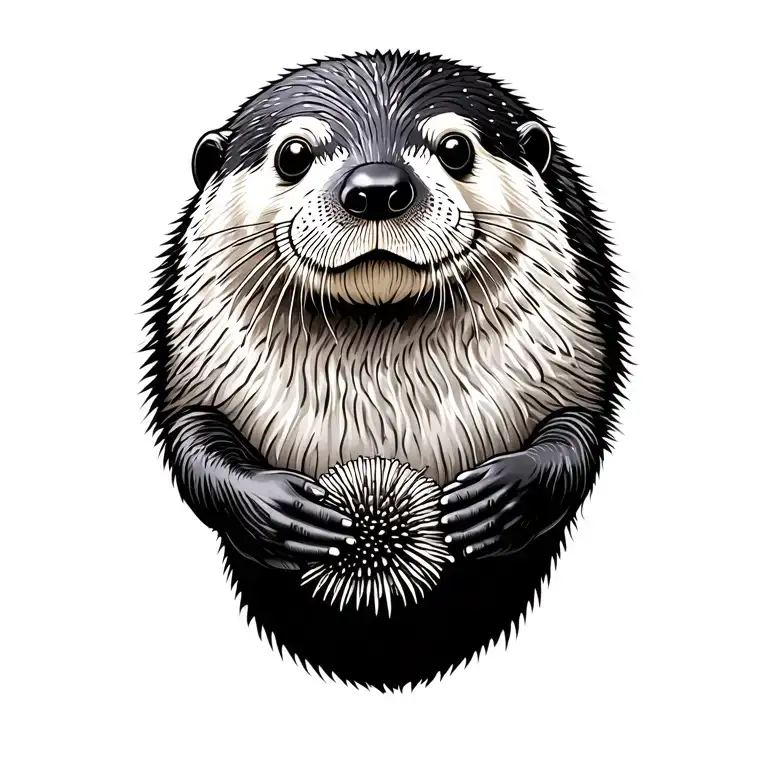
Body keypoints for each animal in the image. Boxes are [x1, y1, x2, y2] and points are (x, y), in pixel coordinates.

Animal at [143, 50, 628, 690]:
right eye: (293, 154)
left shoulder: (579, 346)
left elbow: (580, 430)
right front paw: (284, 513)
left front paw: (500, 497)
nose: (376, 188)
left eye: (455, 148)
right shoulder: (194, 359)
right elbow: (192, 438)